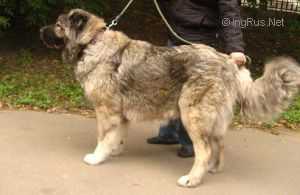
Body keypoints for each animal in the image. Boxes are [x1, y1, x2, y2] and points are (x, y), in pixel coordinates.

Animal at [40, 9, 300, 187]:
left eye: (58, 25)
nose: (40, 31)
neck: (92, 43)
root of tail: (229, 63)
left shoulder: (107, 112)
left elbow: (103, 137)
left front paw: (96, 157)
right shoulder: (120, 116)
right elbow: (117, 137)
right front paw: (113, 151)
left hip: (191, 115)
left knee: (204, 151)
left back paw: (192, 179)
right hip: (211, 120)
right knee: (218, 146)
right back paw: (212, 170)